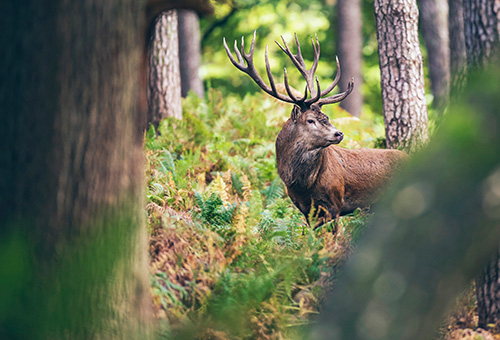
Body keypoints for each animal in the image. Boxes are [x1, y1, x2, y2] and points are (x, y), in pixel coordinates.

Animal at [225, 31, 408, 228]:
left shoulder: (335, 203)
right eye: (311, 120)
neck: (303, 185)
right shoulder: (305, 210)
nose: (339, 133)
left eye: (326, 117)